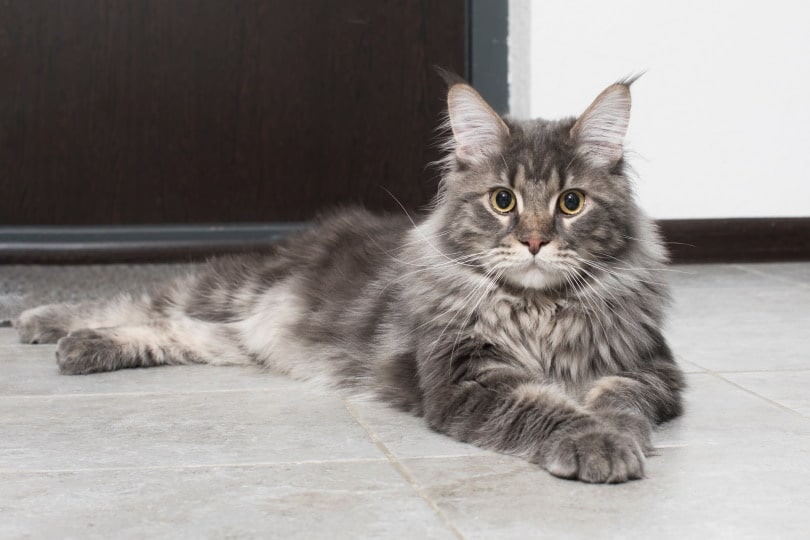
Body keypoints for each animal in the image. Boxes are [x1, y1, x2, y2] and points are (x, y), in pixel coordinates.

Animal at [12, 77, 680, 486]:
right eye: (502, 200)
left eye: (570, 203)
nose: (536, 241)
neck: (539, 310)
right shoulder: (468, 377)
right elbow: (546, 408)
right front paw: (595, 442)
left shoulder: (651, 369)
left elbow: (619, 401)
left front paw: (619, 434)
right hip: (233, 289)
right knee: (142, 301)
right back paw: (40, 321)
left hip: (242, 336)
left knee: (174, 331)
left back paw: (85, 348)